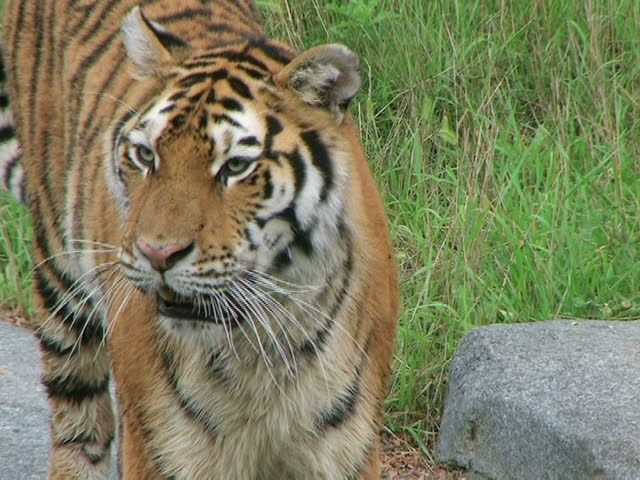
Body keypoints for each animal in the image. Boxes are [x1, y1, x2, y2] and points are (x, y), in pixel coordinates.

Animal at [0, 1, 399, 479]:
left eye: (235, 166)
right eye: (146, 155)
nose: (158, 254)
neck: (260, 347)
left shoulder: (346, 450)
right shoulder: (161, 449)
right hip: (63, 283)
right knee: (78, 423)